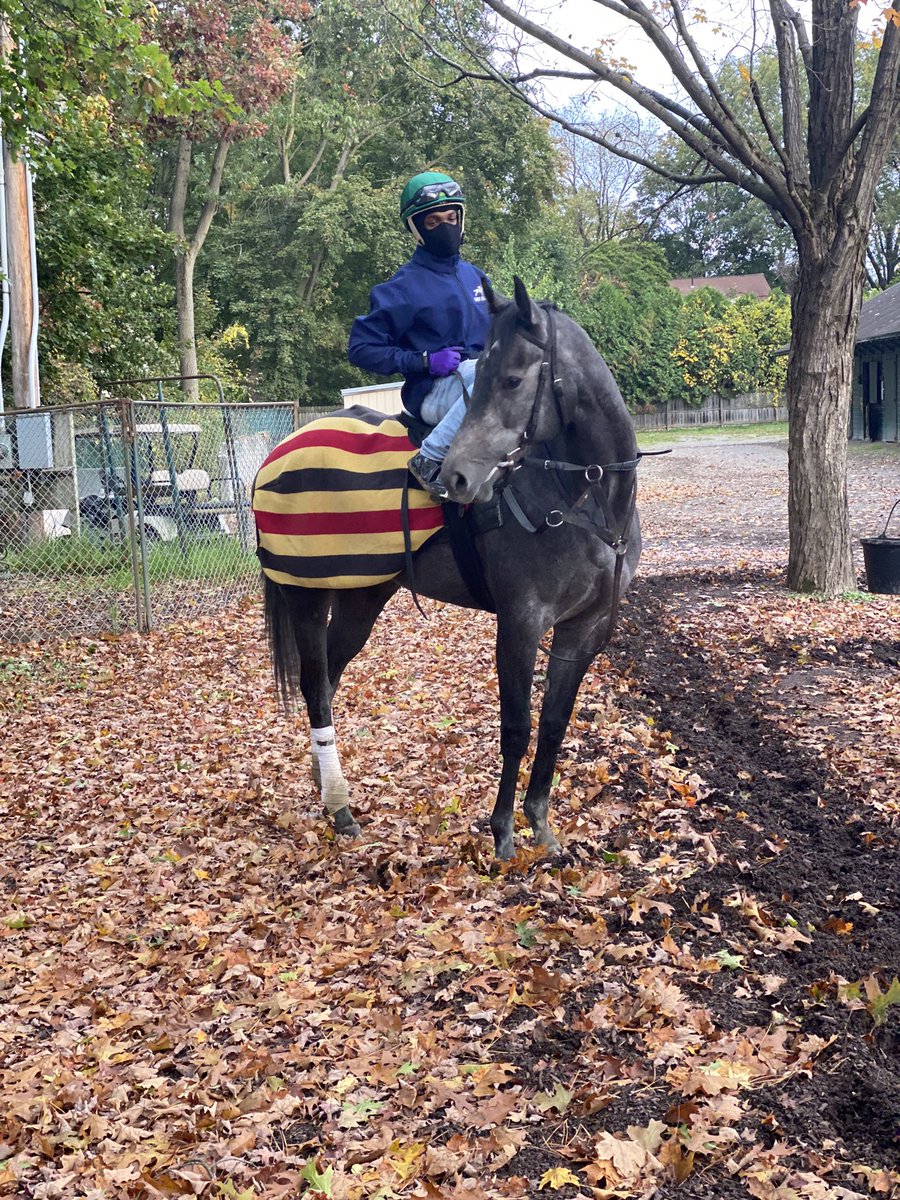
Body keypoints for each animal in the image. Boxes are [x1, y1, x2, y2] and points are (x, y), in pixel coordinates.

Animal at [256, 278, 643, 864]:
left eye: (512, 379)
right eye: (477, 380)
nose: (459, 478)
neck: (583, 497)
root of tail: (278, 453)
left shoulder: (584, 628)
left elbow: (554, 723)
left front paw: (541, 825)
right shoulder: (520, 624)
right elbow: (516, 726)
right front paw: (503, 833)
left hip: (361, 597)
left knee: (327, 680)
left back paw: (325, 792)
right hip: (306, 594)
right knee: (315, 686)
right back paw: (341, 810)